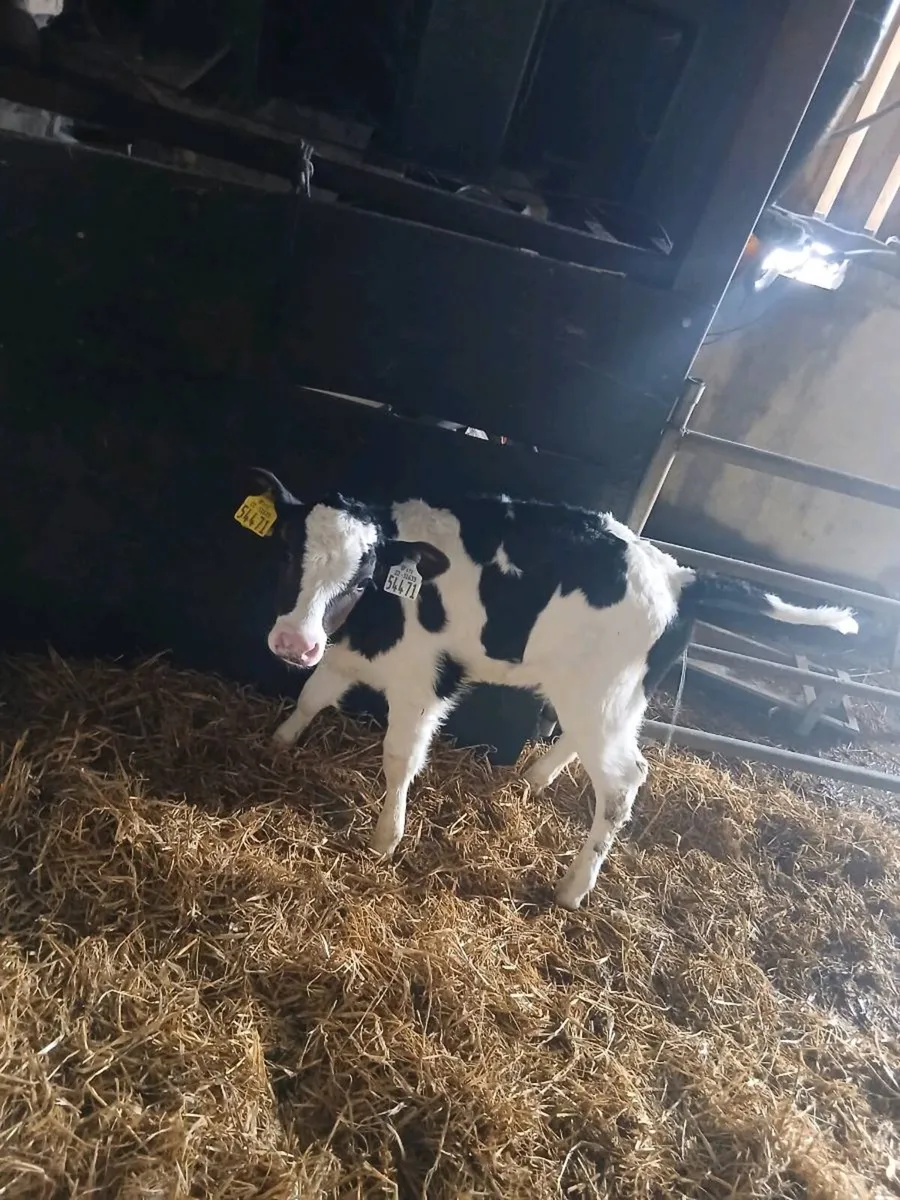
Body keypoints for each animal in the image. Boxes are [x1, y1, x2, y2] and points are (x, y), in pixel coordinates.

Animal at [247, 470, 858, 908]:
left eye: (363, 572)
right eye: (287, 552)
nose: (293, 642)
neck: (378, 616)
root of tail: (678, 575)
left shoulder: (426, 681)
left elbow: (400, 757)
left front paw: (385, 837)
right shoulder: (345, 655)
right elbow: (311, 696)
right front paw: (278, 743)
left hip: (603, 696)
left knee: (623, 781)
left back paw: (573, 888)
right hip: (605, 697)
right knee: (588, 743)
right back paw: (534, 780)